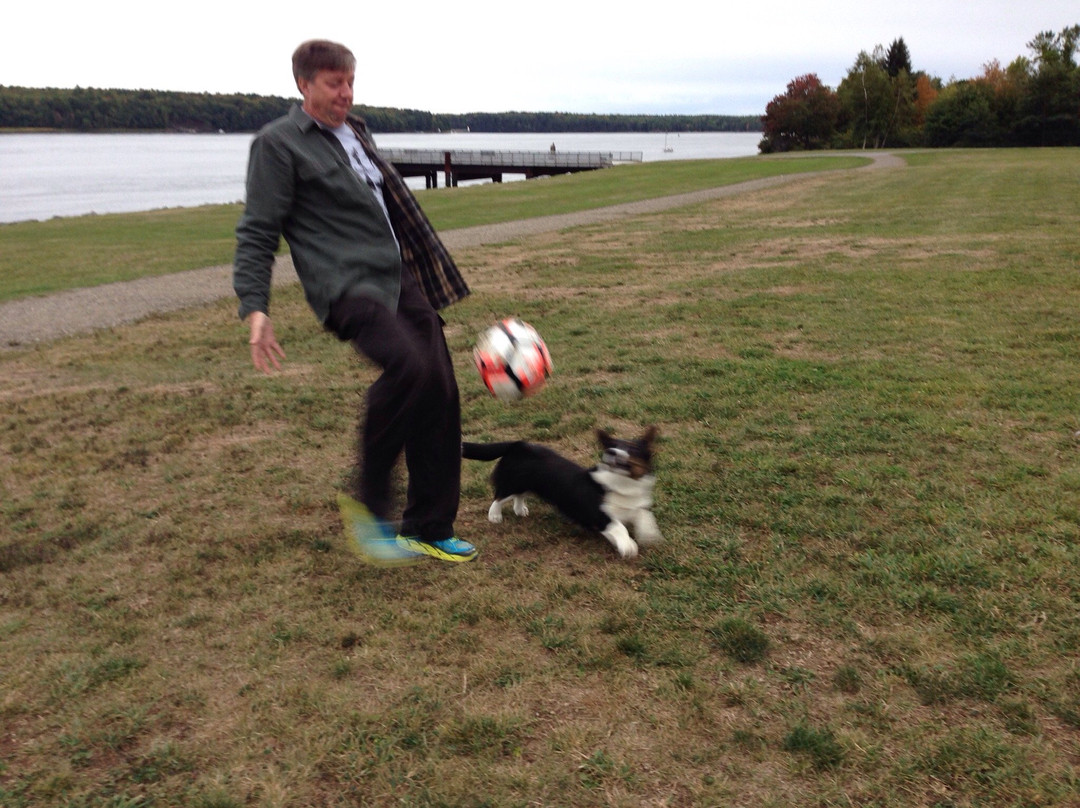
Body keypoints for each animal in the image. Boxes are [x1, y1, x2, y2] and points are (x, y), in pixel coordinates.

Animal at [462, 425, 660, 557]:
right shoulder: (598, 514)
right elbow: (619, 526)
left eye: (633, 448)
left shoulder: (635, 507)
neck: (622, 484)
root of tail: (518, 445)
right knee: (499, 497)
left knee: (519, 496)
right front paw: (628, 546)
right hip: (512, 484)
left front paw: (649, 534)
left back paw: (520, 510)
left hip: (529, 484)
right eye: (610, 445)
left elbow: (644, 515)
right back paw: (495, 516)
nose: (612, 452)